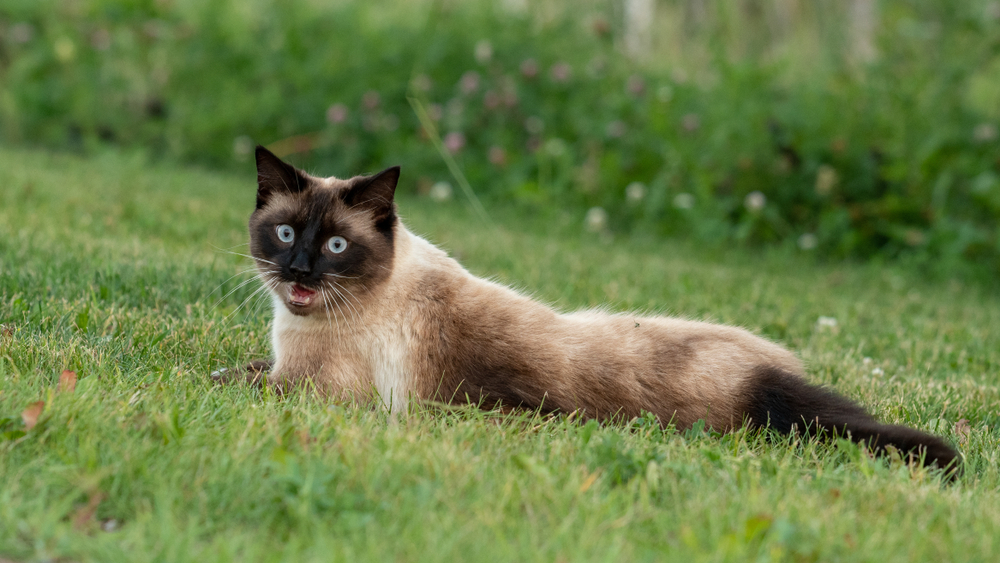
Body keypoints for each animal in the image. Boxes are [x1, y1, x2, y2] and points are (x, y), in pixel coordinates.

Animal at [211, 145, 960, 476]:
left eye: (336, 245)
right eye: (285, 233)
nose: (299, 271)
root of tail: (765, 386)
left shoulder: (314, 390)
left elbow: (234, 380)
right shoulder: (288, 369)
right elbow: (236, 369)